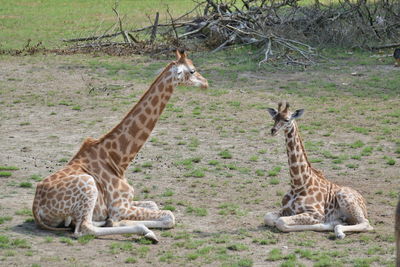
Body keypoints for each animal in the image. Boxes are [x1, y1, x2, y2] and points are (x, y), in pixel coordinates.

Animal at [31, 49, 209, 244]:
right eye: (192, 70)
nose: (206, 83)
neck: (118, 160)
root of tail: (36, 208)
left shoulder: (128, 201)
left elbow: (154, 204)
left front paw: (114, 221)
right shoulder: (119, 207)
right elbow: (169, 215)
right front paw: (126, 224)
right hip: (88, 184)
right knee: (84, 229)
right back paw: (146, 232)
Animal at [264, 101, 374, 240]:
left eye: (287, 119)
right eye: (274, 118)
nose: (273, 130)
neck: (298, 183)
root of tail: (364, 203)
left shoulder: (316, 213)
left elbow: (281, 222)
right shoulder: (285, 209)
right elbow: (268, 217)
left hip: (344, 197)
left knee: (366, 224)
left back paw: (339, 231)